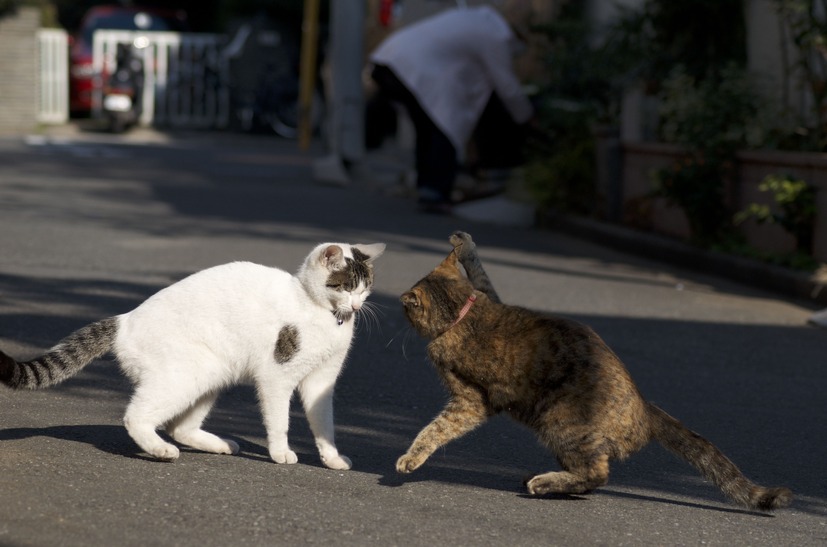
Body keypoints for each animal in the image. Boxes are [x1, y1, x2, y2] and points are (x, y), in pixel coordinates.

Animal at [0, 244, 388, 470]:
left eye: (365, 287)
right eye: (345, 286)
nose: (357, 306)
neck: (320, 312)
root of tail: (126, 319)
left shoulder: (321, 381)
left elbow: (325, 425)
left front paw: (332, 458)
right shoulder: (277, 377)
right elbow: (279, 422)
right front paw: (281, 453)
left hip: (211, 376)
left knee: (180, 427)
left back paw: (219, 445)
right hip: (186, 376)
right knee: (137, 417)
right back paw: (160, 450)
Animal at [402, 232, 796, 512]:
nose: (401, 306)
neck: (463, 313)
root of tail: (645, 407)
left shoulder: (469, 400)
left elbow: (436, 429)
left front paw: (410, 459)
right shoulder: (489, 295)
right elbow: (482, 272)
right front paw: (463, 243)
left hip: (560, 422)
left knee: (597, 474)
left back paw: (543, 483)